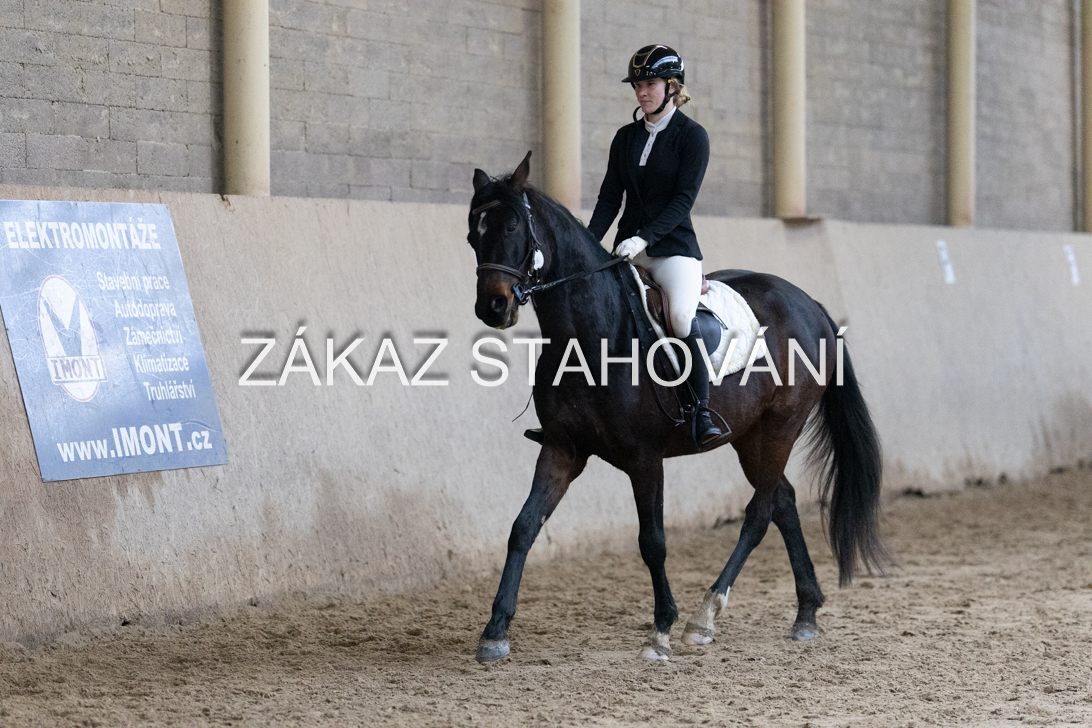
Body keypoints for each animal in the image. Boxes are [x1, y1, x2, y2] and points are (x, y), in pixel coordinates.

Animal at [466, 152, 889, 663]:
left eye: (512, 226)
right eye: (472, 233)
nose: (493, 308)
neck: (592, 333)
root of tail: (809, 303)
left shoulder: (645, 458)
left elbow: (653, 542)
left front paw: (662, 628)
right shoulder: (563, 449)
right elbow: (523, 527)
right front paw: (495, 630)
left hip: (782, 425)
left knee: (759, 512)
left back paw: (704, 616)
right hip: (750, 435)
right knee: (783, 502)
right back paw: (805, 612)